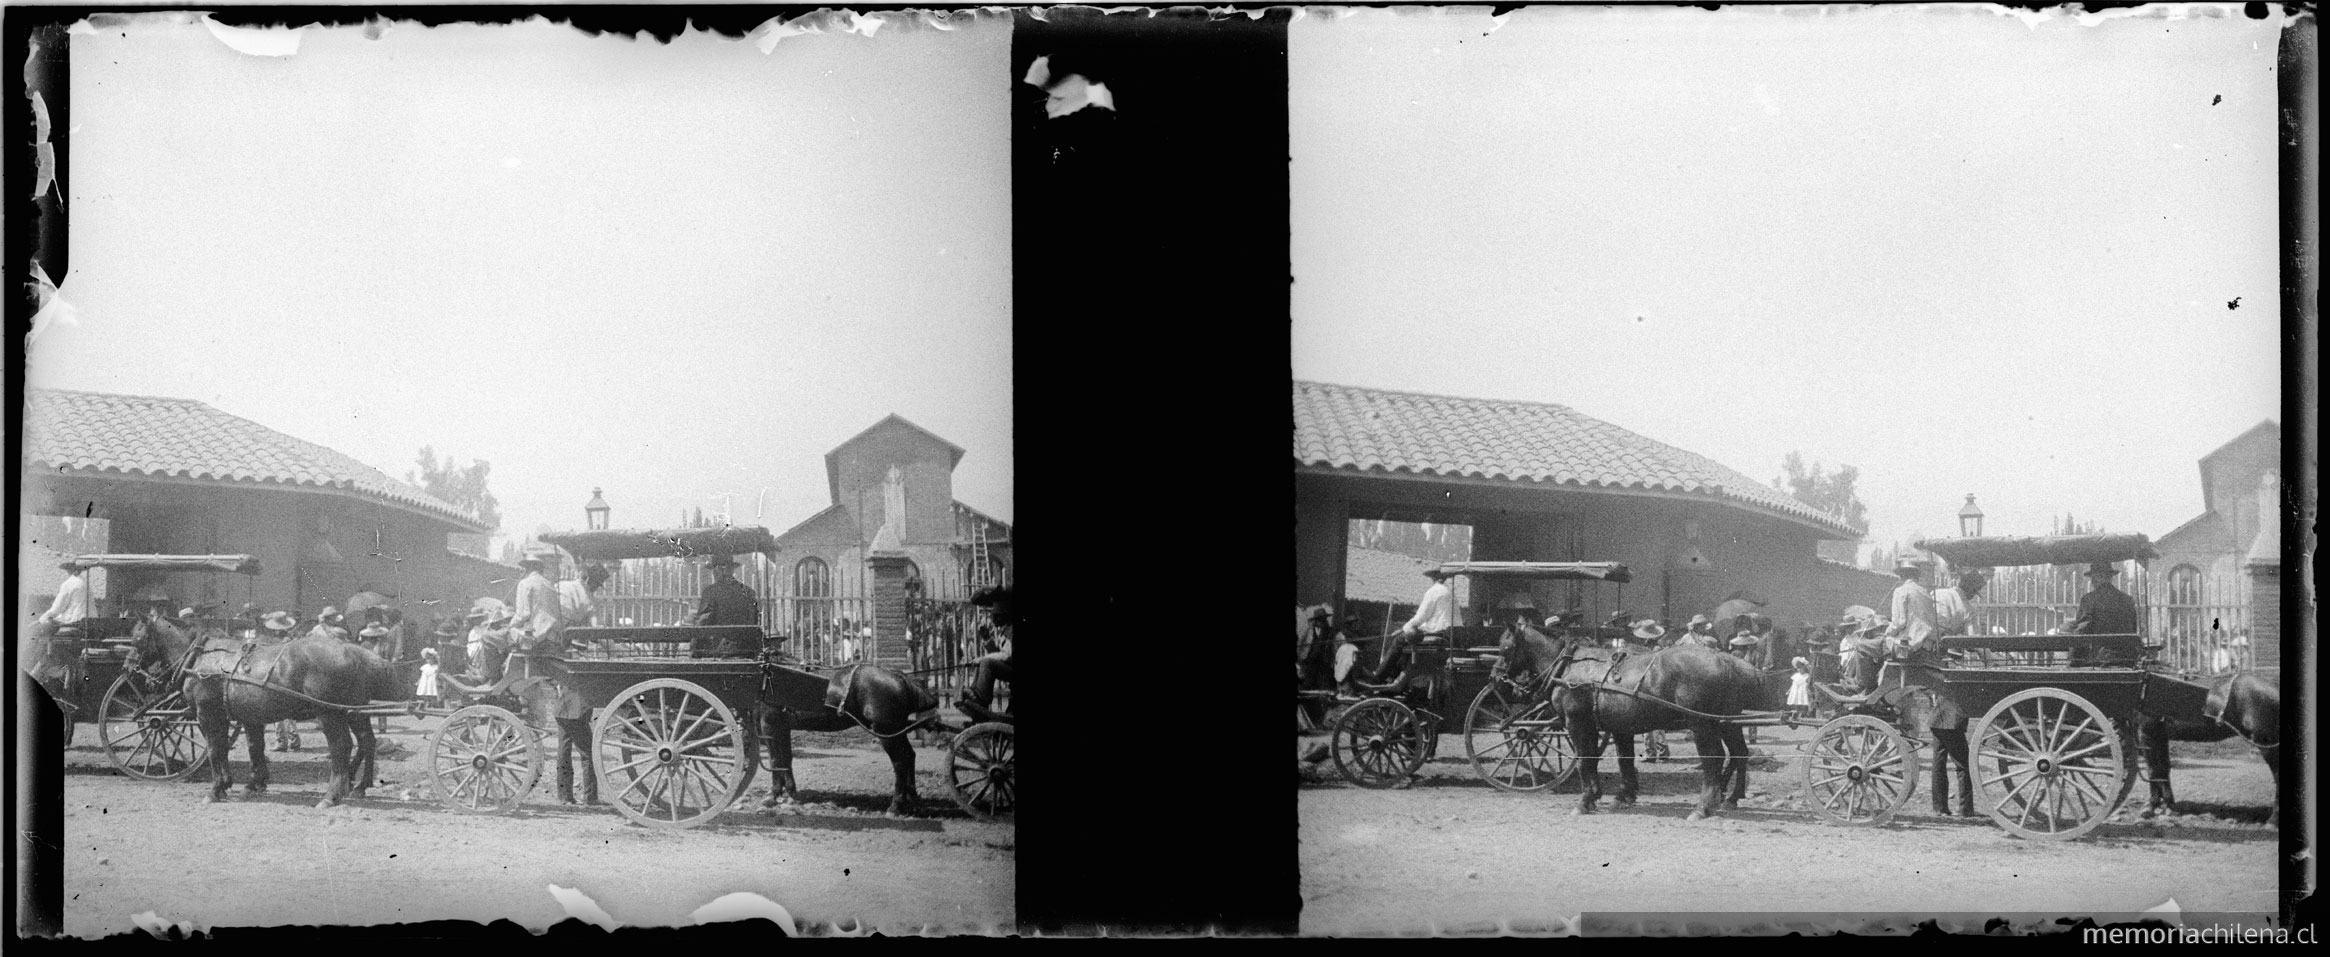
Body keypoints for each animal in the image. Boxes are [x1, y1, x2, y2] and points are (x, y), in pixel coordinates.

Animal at [131, 614, 400, 810]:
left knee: (341, 747)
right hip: (353, 710)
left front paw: (216, 789)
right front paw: (251, 784)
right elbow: (252, 748)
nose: (129, 667)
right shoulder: (250, 717)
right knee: (366, 740)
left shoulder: (208, 714)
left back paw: (332, 795)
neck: (201, 659)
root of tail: (351, 651)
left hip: (329, 713)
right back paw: (359, 785)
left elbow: (215, 749)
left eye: (136, 639)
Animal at [1509, 624, 1761, 819]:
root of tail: (1723, 659)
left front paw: (1585, 800)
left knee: (1713, 760)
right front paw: (1622, 795)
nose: (1501, 679)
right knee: (1740, 752)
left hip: (1702, 725)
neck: (1571, 668)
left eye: (1506, 647)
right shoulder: (1619, 727)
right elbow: (1623, 760)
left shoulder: (1578, 724)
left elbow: (1584, 761)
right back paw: (1731, 797)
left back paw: (1703, 807)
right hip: (1725, 722)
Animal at [2134, 675, 2283, 824]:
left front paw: (2150, 806)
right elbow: (2163, 770)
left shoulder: (2147, 734)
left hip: (2267, 743)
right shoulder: (2160, 736)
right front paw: (2167, 805)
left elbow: (2153, 770)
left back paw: (2273, 821)